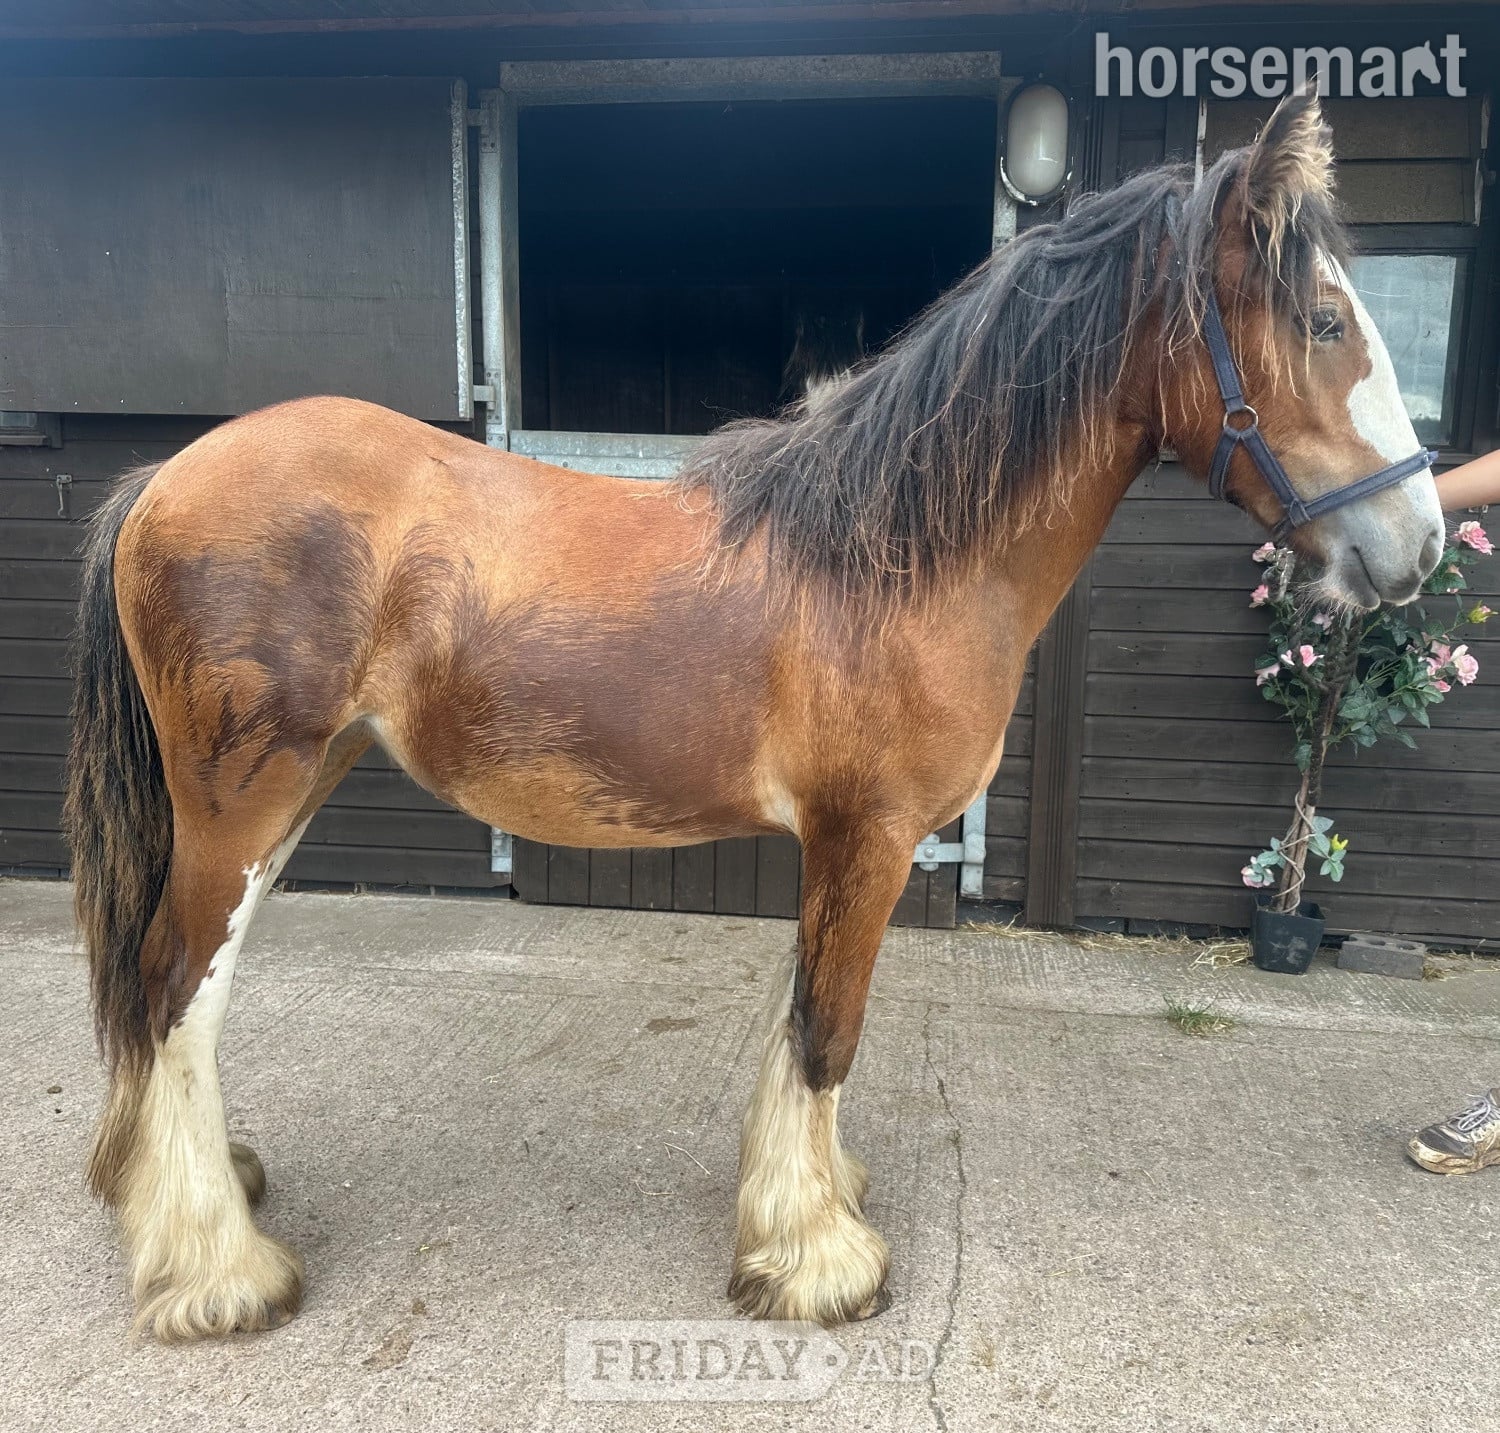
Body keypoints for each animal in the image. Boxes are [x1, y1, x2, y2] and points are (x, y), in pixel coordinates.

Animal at [64, 91, 1443, 1341]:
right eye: (1325, 321)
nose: (1420, 543)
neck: (896, 553)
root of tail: (162, 478)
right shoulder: (868, 838)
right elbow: (828, 1032)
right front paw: (819, 1260)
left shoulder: (839, 846)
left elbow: (800, 1029)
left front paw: (808, 1206)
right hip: (243, 802)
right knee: (173, 989)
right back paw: (217, 1272)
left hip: (293, 790)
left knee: (168, 992)